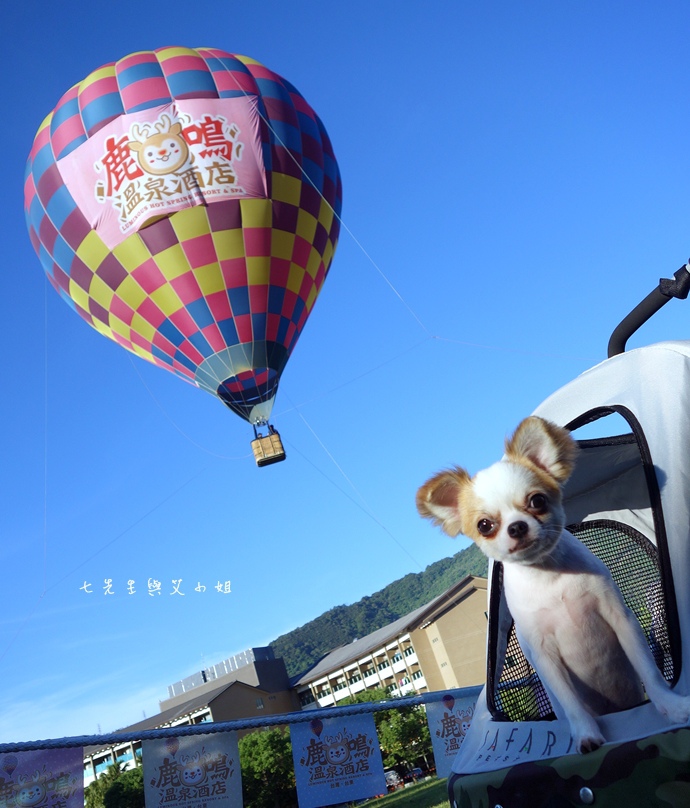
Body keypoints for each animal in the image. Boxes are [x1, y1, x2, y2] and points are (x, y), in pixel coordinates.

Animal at [414, 420, 688, 756]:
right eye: (484, 526)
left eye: (537, 501)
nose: (517, 526)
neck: (548, 575)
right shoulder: (544, 655)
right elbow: (571, 704)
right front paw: (586, 734)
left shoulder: (621, 620)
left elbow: (650, 673)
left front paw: (672, 707)